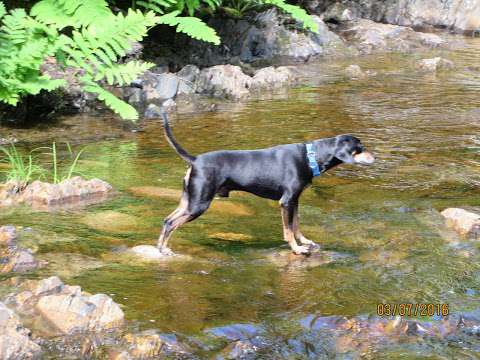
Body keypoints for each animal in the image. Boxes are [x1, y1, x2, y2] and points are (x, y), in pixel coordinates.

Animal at [158, 112, 376, 256]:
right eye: (361, 148)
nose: (375, 157)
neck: (310, 157)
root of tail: (194, 160)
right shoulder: (286, 201)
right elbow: (288, 231)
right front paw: (297, 249)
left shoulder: (295, 201)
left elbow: (296, 225)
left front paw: (304, 241)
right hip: (199, 204)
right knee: (171, 223)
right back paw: (164, 249)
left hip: (189, 201)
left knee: (166, 220)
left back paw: (160, 248)